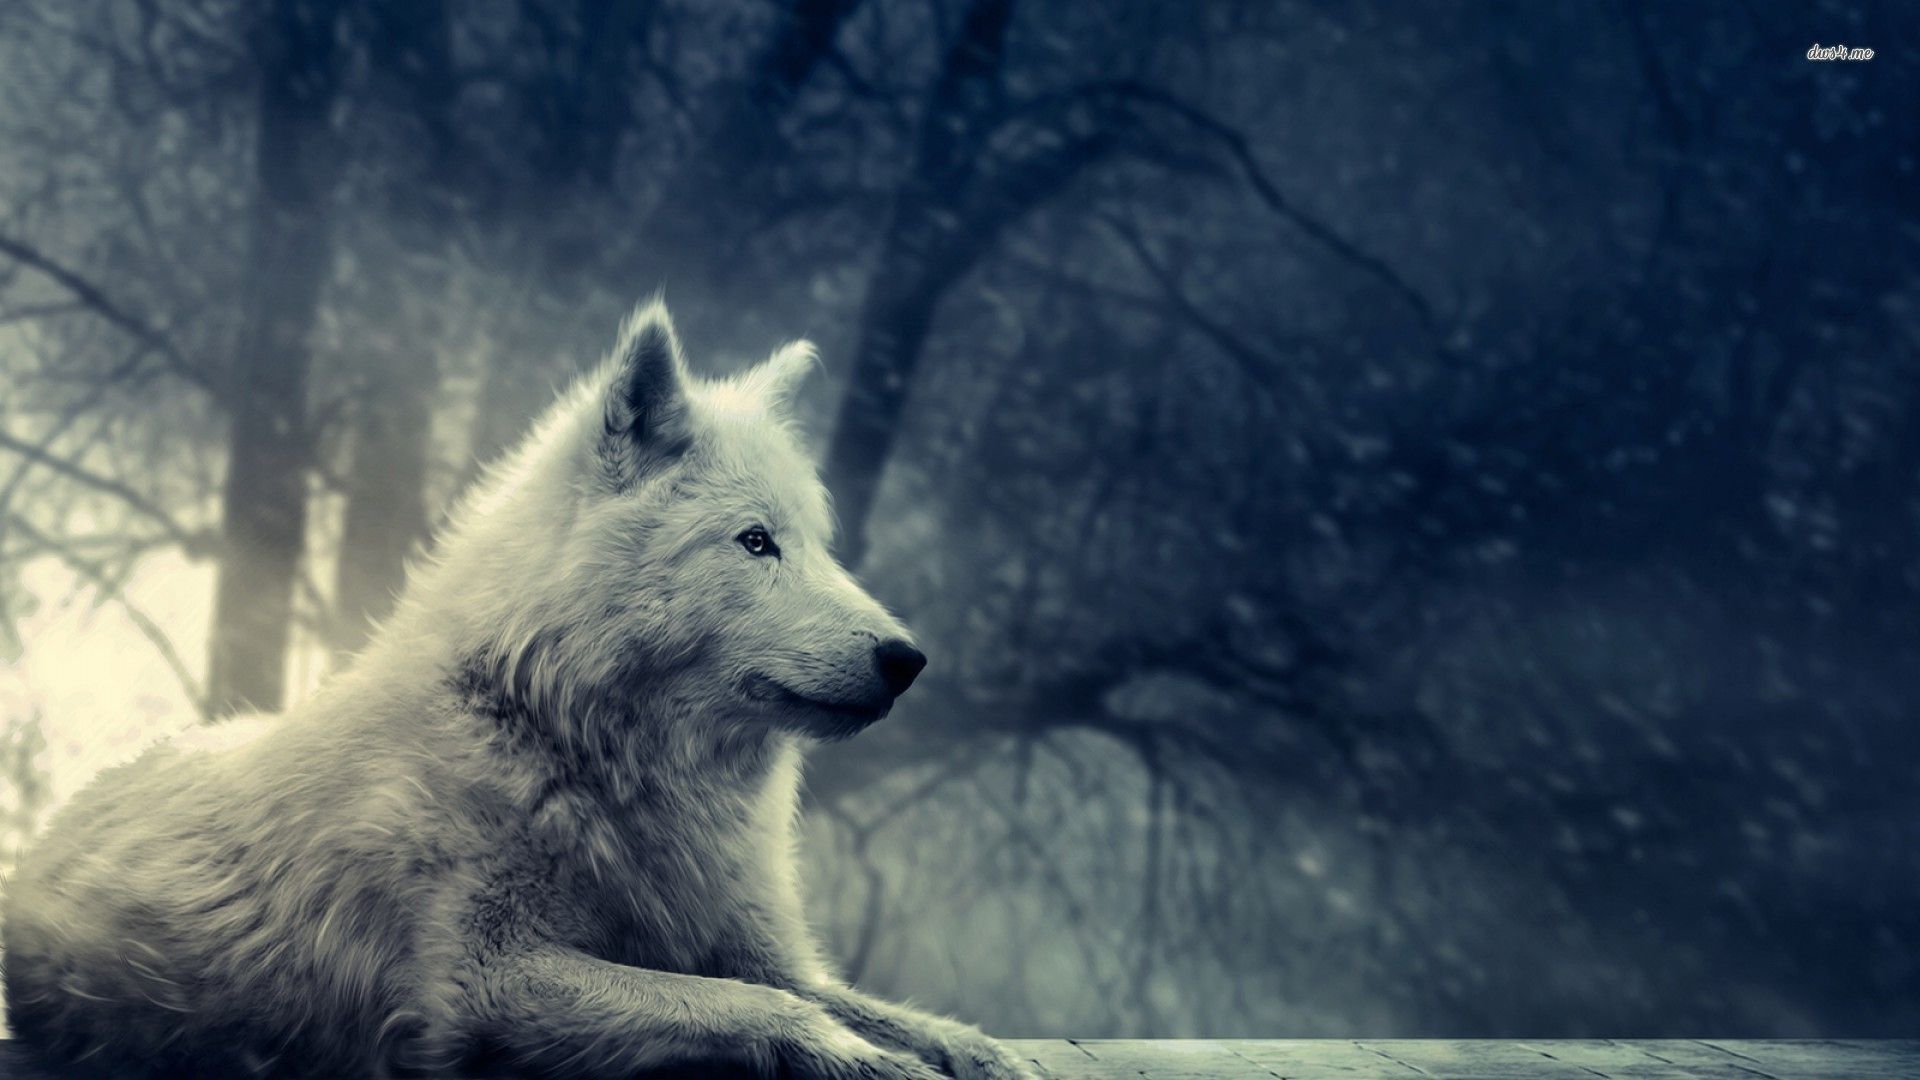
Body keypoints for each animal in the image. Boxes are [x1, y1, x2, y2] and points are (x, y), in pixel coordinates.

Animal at [3, 304, 1035, 1079]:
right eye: (755, 542)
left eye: (818, 544)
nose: (908, 658)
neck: (562, 739)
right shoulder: (484, 982)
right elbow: (753, 1006)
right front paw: (864, 1059)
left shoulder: (761, 947)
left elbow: (876, 1009)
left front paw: (980, 1053)